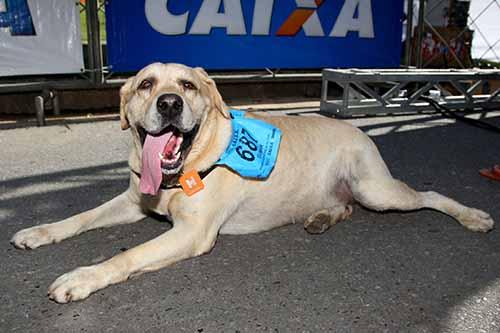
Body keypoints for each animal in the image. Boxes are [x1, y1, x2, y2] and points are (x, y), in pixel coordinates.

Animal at [9, 63, 494, 304]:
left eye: (187, 85)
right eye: (146, 84)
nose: (169, 104)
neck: (187, 166)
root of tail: (359, 130)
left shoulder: (191, 233)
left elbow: (125, 255)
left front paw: (81, 277)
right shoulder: (134, 200)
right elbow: (79, 217)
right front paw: (40, 231)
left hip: (377, 190)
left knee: (430, 194)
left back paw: (472, 215)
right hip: (348, 193)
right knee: (343, 206)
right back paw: (321, 218)